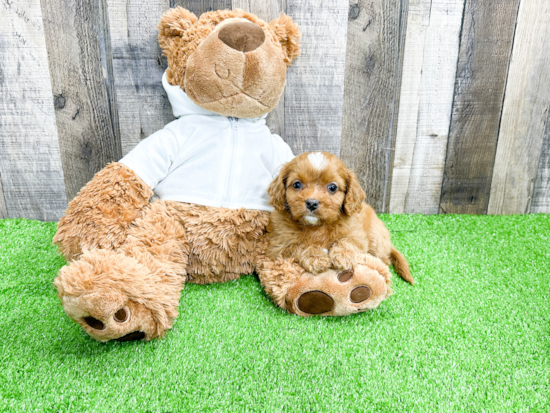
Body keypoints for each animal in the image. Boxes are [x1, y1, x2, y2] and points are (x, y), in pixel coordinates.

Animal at [266, 151, 414, 284]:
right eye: (297, 184)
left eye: (332, 187)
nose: (312, 203)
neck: (317, 227)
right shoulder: (278, 246)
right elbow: (297, 246)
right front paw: (316, 257)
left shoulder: (357, 235)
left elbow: (347, 241)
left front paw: (342, 255)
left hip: (376, 238)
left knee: (384, 259)